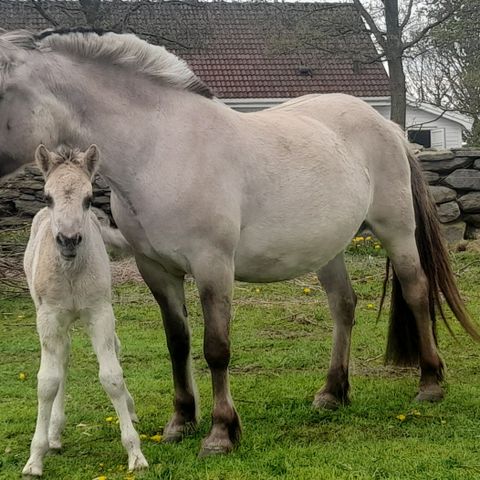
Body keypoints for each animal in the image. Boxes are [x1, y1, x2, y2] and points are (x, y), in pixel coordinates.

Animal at [22, 145, 146, 476]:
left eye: (89, 199)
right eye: (47, 196)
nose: (68, 240)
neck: (71, 272)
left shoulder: (100, 313)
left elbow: (112, 376)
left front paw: (135, 453)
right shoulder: (48, 319)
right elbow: (47, 382)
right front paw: (35, 458)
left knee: (114, 348)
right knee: (62, 362)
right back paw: (54, 434)